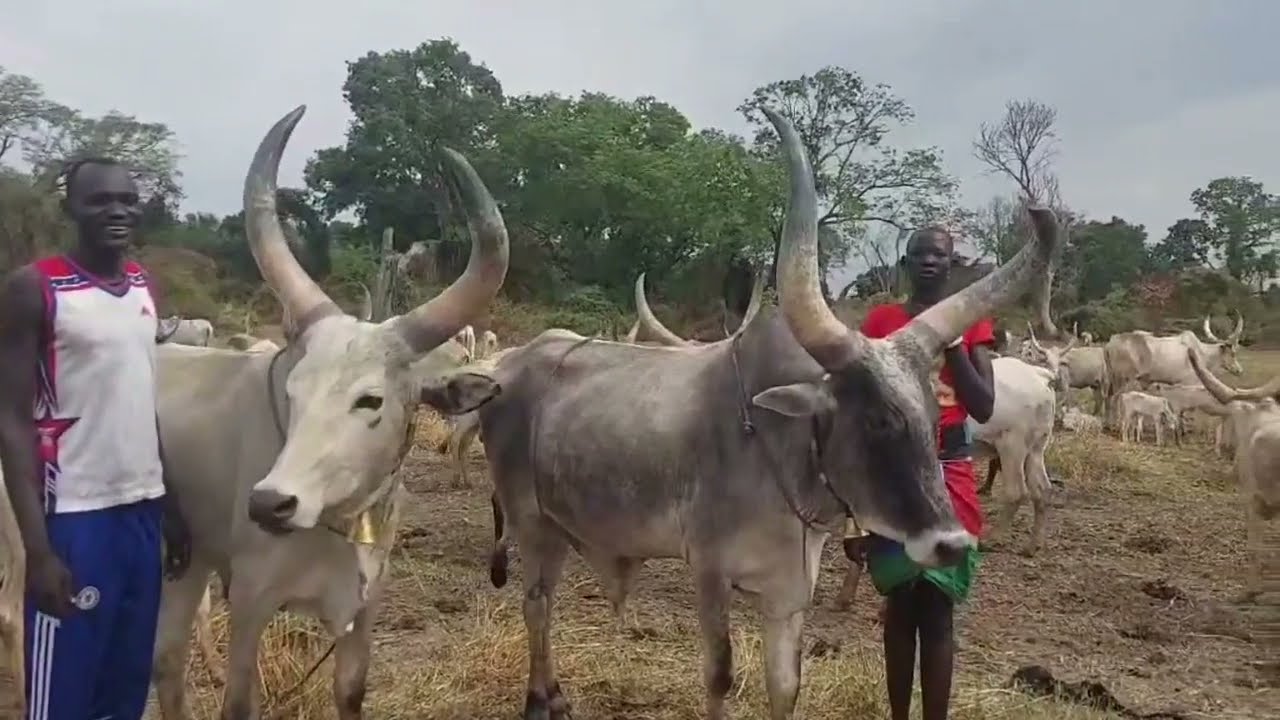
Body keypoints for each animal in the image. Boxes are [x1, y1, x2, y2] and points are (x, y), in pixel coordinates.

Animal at [148, 105, 509, 720]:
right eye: (293, 392)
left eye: (370, 400)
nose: (270, 504)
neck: (336, 524)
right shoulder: (250, 599)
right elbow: (238, 701)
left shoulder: (364, 608)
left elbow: (350, 693)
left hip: (185, 565)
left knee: (168, 663)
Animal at [455, 109, 1061, 720]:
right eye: (877, 420)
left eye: (933, 416)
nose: (952, 545)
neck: (782, 455)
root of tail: (517, 362)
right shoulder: (709, 572)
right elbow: (720, 675)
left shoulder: (789, 591)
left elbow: (785, 685)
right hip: (530, 520)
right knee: (536, 604)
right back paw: (540, 698)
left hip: (557, 525)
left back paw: (555, 696)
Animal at [1102, 314, 1244, 422]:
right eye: (1233, 353)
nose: (1239, 371)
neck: (1202, 353)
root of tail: (1110, 344)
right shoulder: (1188, 384)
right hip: (1123, 380)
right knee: (1115, 399)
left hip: (1112, 378)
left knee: (1107, 398)